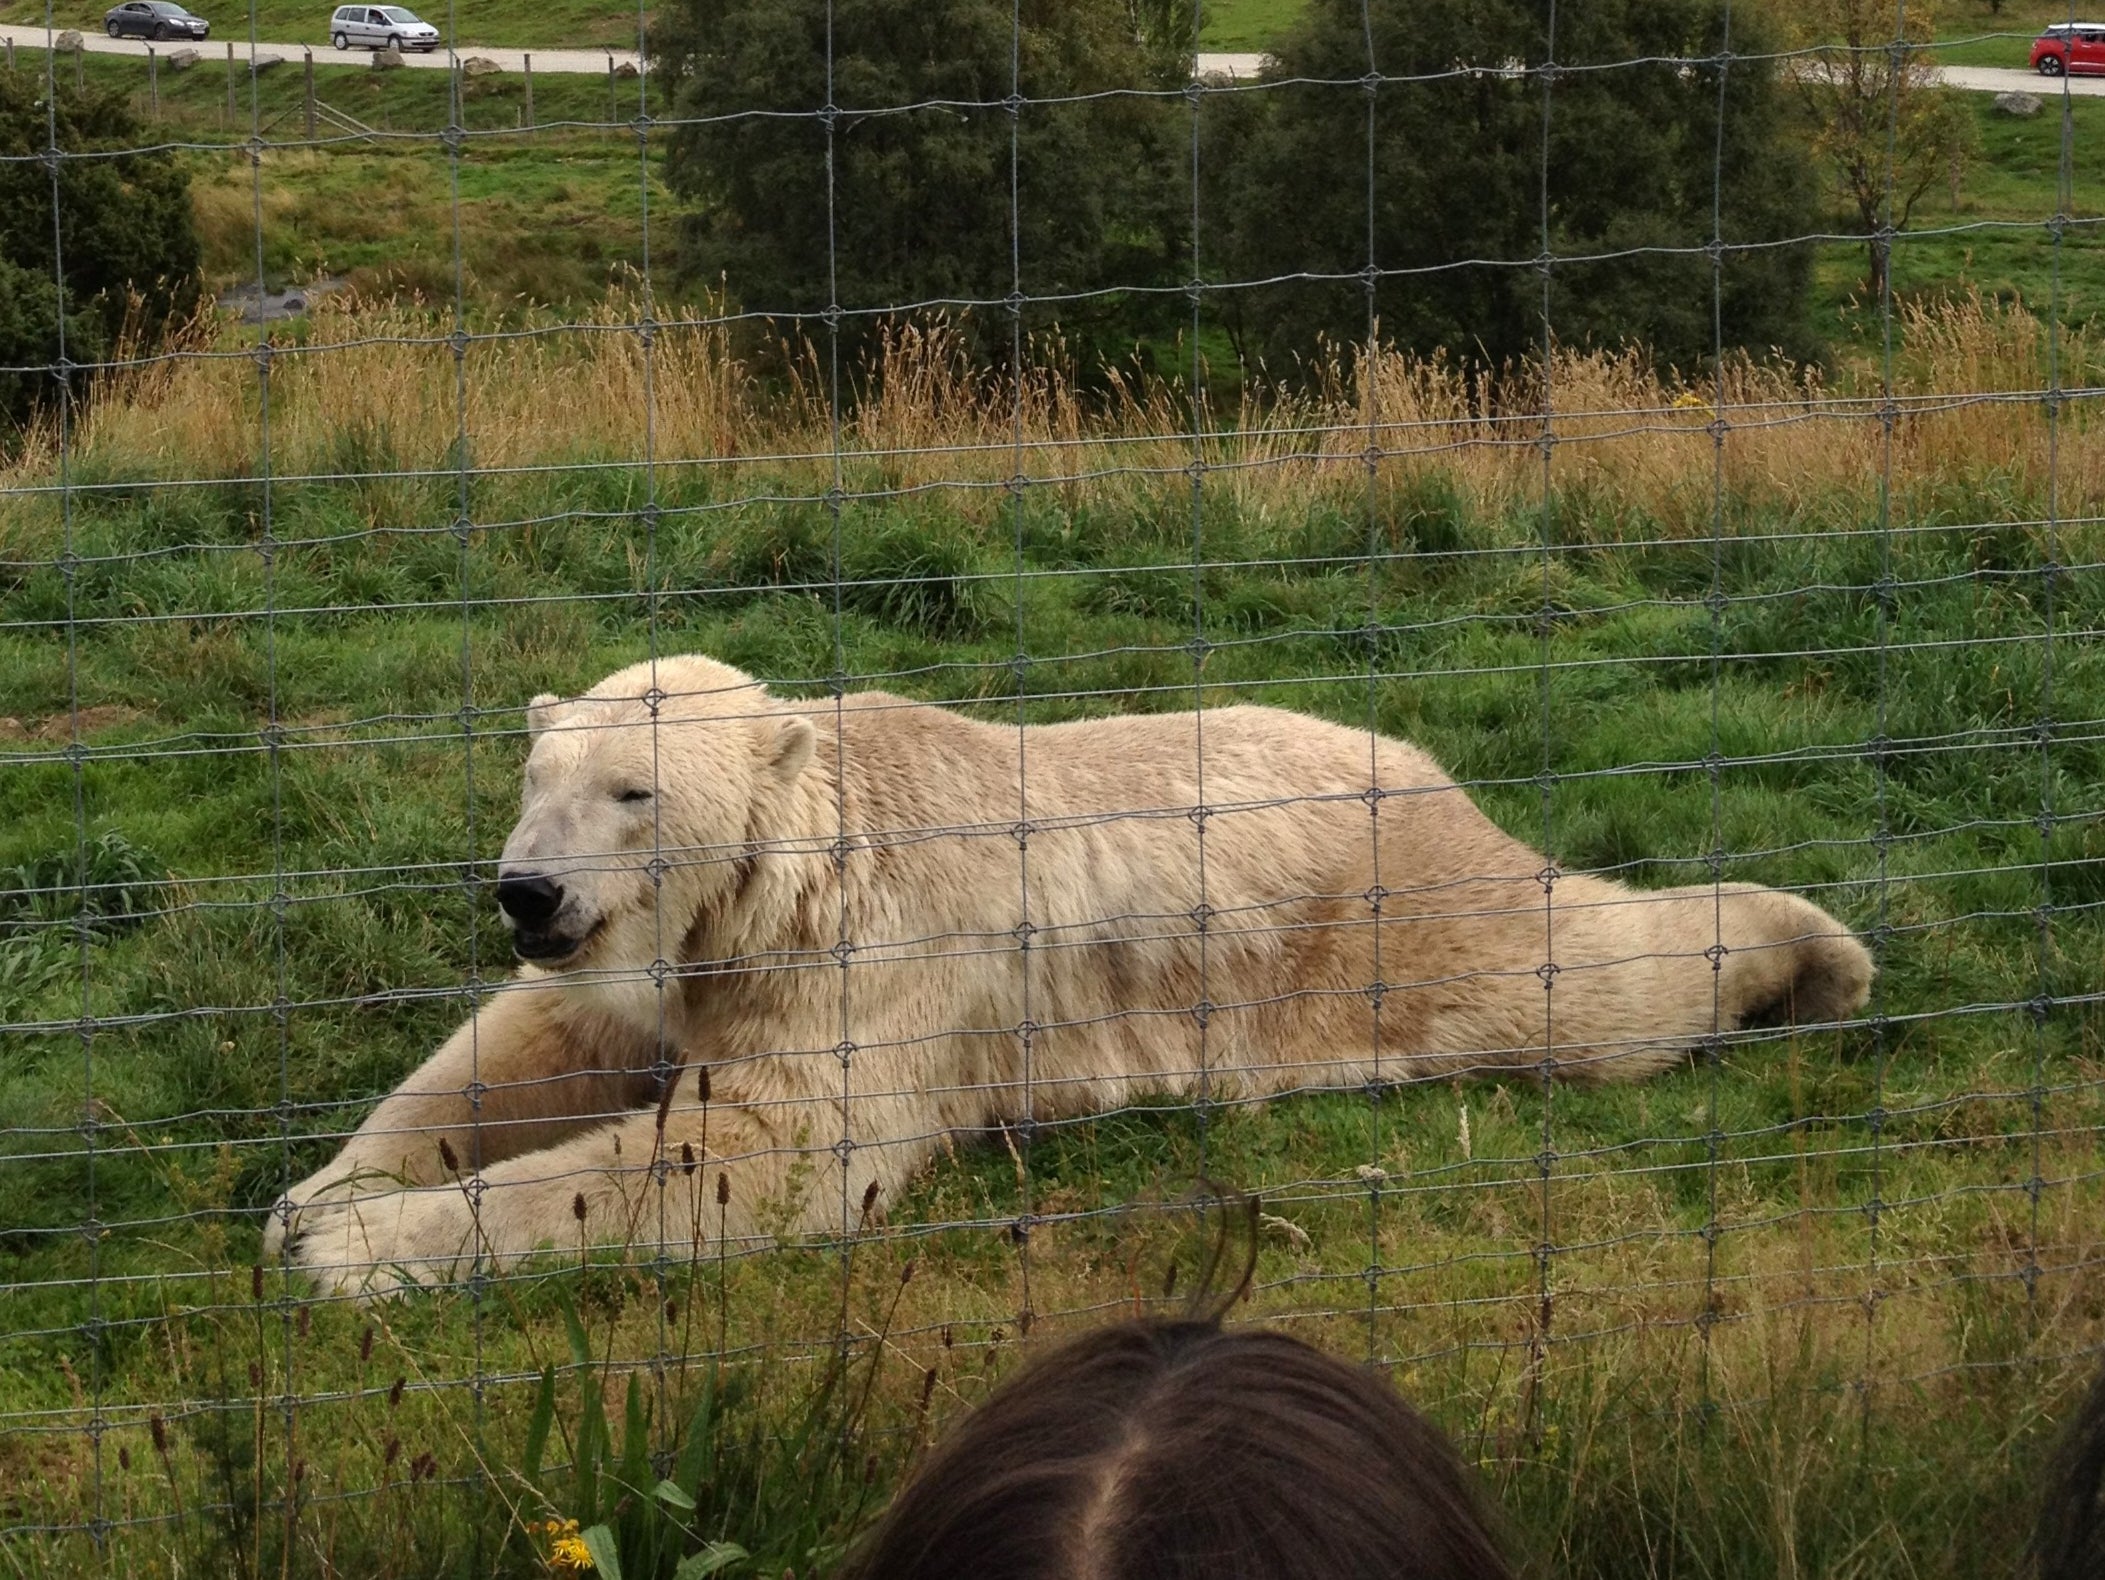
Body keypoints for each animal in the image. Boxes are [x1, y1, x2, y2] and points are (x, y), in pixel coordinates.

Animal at [267, 647, 1877, 1287]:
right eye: (534, 777)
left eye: (635, 790)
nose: (528, 890)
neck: (798, 868)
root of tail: (1425, 767)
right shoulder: (675, 965)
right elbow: (543, 1040)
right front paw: (320, 1196)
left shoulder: (877, 966)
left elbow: (757, 1154)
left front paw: (358, 1251)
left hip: (1394, 929)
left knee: (1581, 980)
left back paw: (1812, 958)